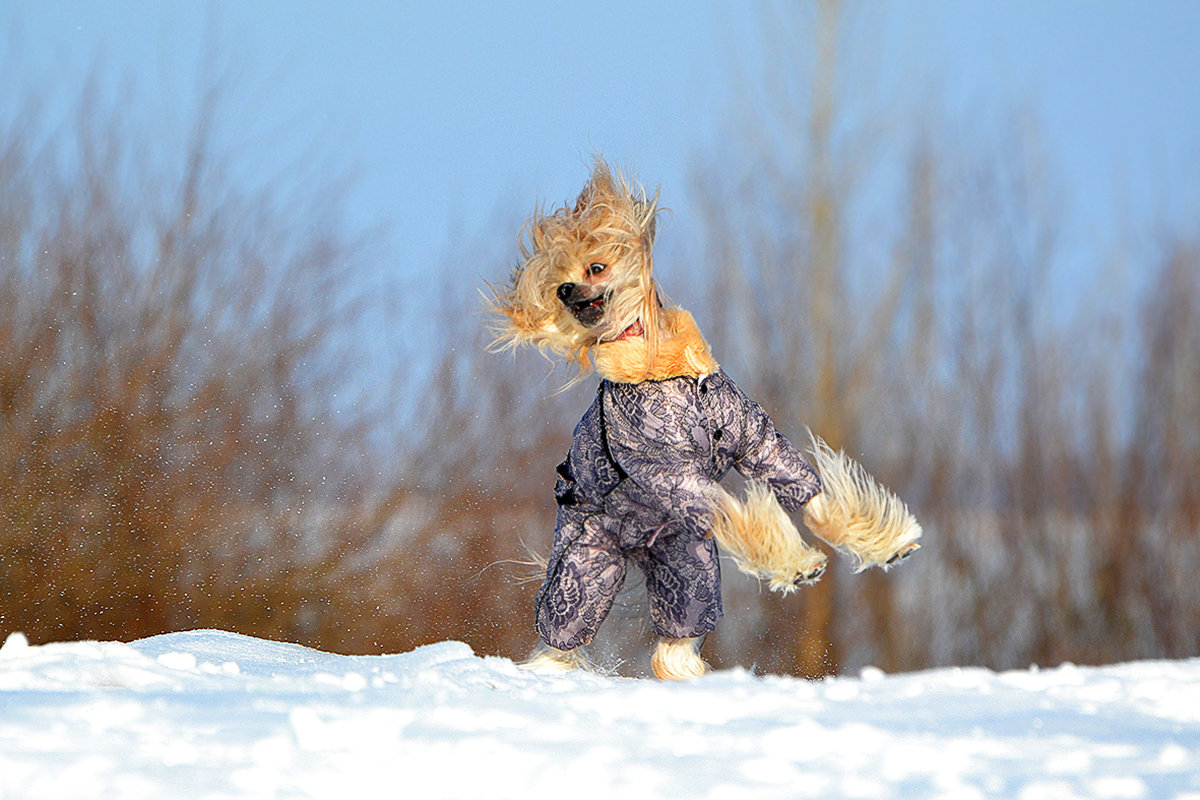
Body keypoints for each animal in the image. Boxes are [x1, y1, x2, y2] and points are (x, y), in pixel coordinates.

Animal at [487, 159, 916, 681]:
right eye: (558, 285)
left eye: (596, 266)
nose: (567, 292)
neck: (667, 370)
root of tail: (635, 548)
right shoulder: (670, 470)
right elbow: (726, 504)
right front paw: (795, 564)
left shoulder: (751, 436)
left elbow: (798, 484)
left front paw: (879, 542)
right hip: (584, 569)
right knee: (562, 631)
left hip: (686, 574)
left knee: (673, 647)